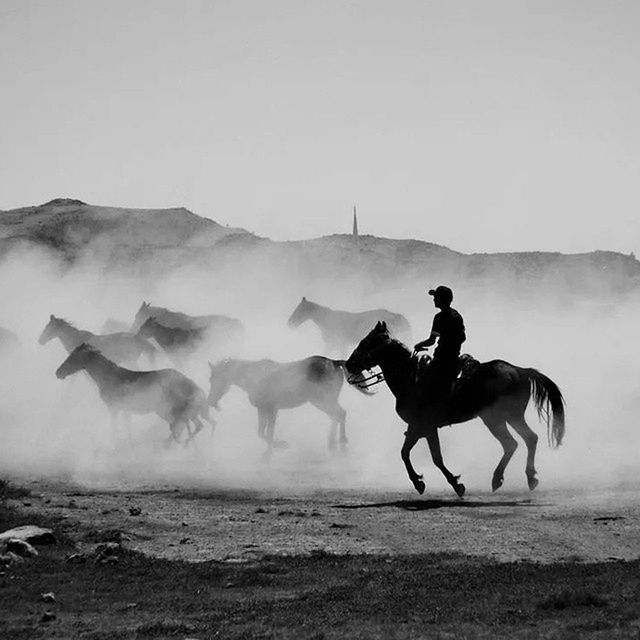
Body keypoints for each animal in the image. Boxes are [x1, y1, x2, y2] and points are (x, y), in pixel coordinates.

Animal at [55, 344, 215, 444]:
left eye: (73, 357)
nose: (58, 372)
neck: (110, 377)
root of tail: (190, 382)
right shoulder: (125, 410)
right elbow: (127, 427)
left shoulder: (114, 408)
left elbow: (115, 427)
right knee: (190, 426)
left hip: (171, 411)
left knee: (183, 427)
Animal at [208, 358, 372, 452]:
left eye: (214, 378)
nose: (210, 400)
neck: (255, 377)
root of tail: (333, 362)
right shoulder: (264, 410)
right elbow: (261, 433)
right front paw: (277, 446)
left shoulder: (271, 409)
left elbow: (267, 433)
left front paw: (276, 446)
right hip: (323, 401)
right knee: (336, 416)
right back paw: (332, 442)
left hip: (322, 400)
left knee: (340, 414)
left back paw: (341, 441)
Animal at [344, 322, 564, 498]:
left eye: (366, 342)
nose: (348, 364)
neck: (412, 379)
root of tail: (521, 371)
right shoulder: (421, 428)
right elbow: (412, 453)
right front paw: (430, 482)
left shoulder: (422, 426)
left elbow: (425, 457)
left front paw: (440, 483)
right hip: (510, 418)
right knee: (528, 439)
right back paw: (528, 478)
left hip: (496, 419)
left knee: (513, 443)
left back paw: (499, 478)